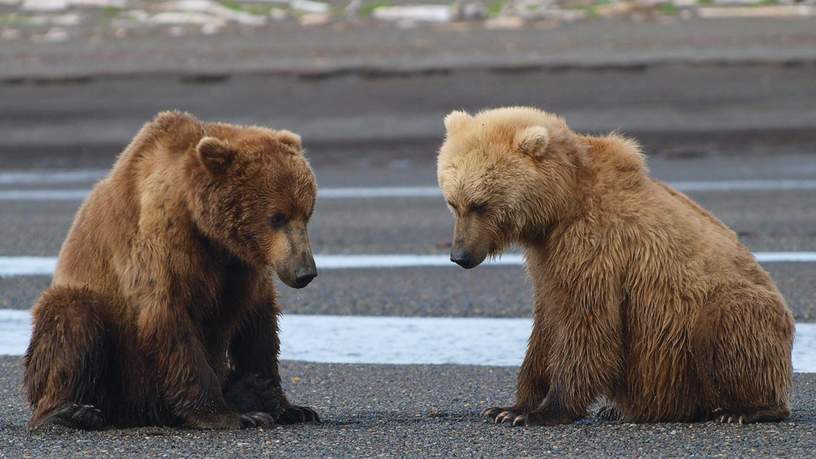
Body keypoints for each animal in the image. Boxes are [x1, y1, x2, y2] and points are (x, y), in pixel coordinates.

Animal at [23, 111, 322, 432]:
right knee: (72, 317)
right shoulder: (164, 240)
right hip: (117, 366)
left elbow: (258, 325)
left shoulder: (243, 267)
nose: (305, 272)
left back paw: (251, 391)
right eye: (276, 217)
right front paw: (227, 414)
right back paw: (68, 411)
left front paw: (290, 406)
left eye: (306, 213)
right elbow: (170, 315)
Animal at [436, 107, 792, 428]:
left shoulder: (596, 248)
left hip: (729, 311)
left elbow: (588, 326)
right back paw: (615, 410)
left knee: (731, 322)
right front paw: (508, 407)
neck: (562, 204)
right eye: (453, 202)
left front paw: (540, 411)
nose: (460, 255)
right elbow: (547, 325)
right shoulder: (546, 259)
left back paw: (746, 410)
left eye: (481, 204)